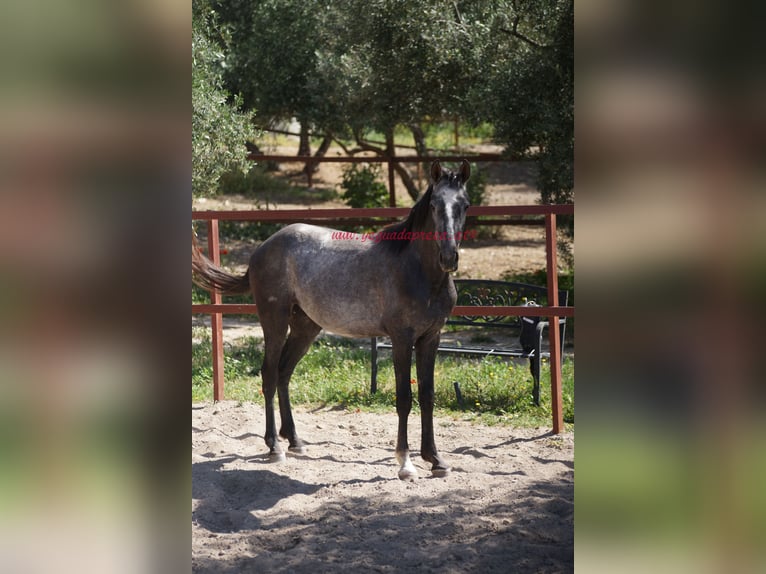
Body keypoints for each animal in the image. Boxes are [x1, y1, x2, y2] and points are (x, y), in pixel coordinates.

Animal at [195, 161, 472, 482]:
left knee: (284, 373)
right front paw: (405, 464)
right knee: (269, 374)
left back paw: (295, 441)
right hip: (274, 321)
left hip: (305, 327)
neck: (419, 273)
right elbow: (404, 398)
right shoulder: (402, 340)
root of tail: (262, 248)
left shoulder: (431, 338)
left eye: (464, 205)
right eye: (435, 205)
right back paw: (275, 446)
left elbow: (427, 396)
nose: (449, 257)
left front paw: (436, 460)